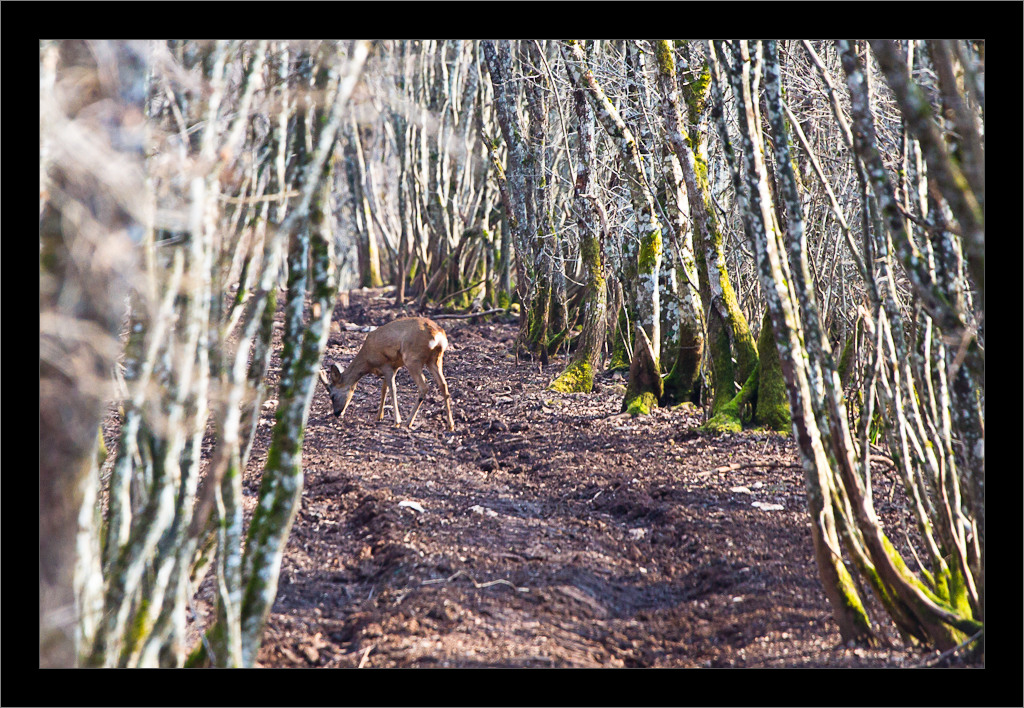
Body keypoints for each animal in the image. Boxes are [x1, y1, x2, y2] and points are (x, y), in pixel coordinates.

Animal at [319, 317, 455, 431]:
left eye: (332, 395)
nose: (336, 413)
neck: (368, 360)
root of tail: (438, 335)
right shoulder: (393, 367)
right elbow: (384, 389)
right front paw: (379, 416)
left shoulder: (386, 365)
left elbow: (392, 389)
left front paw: (396, 421)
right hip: (435, 359)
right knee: (443, 385)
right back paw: (450, 425)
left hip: (412, 358)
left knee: (424, 387)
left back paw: (408, 422)